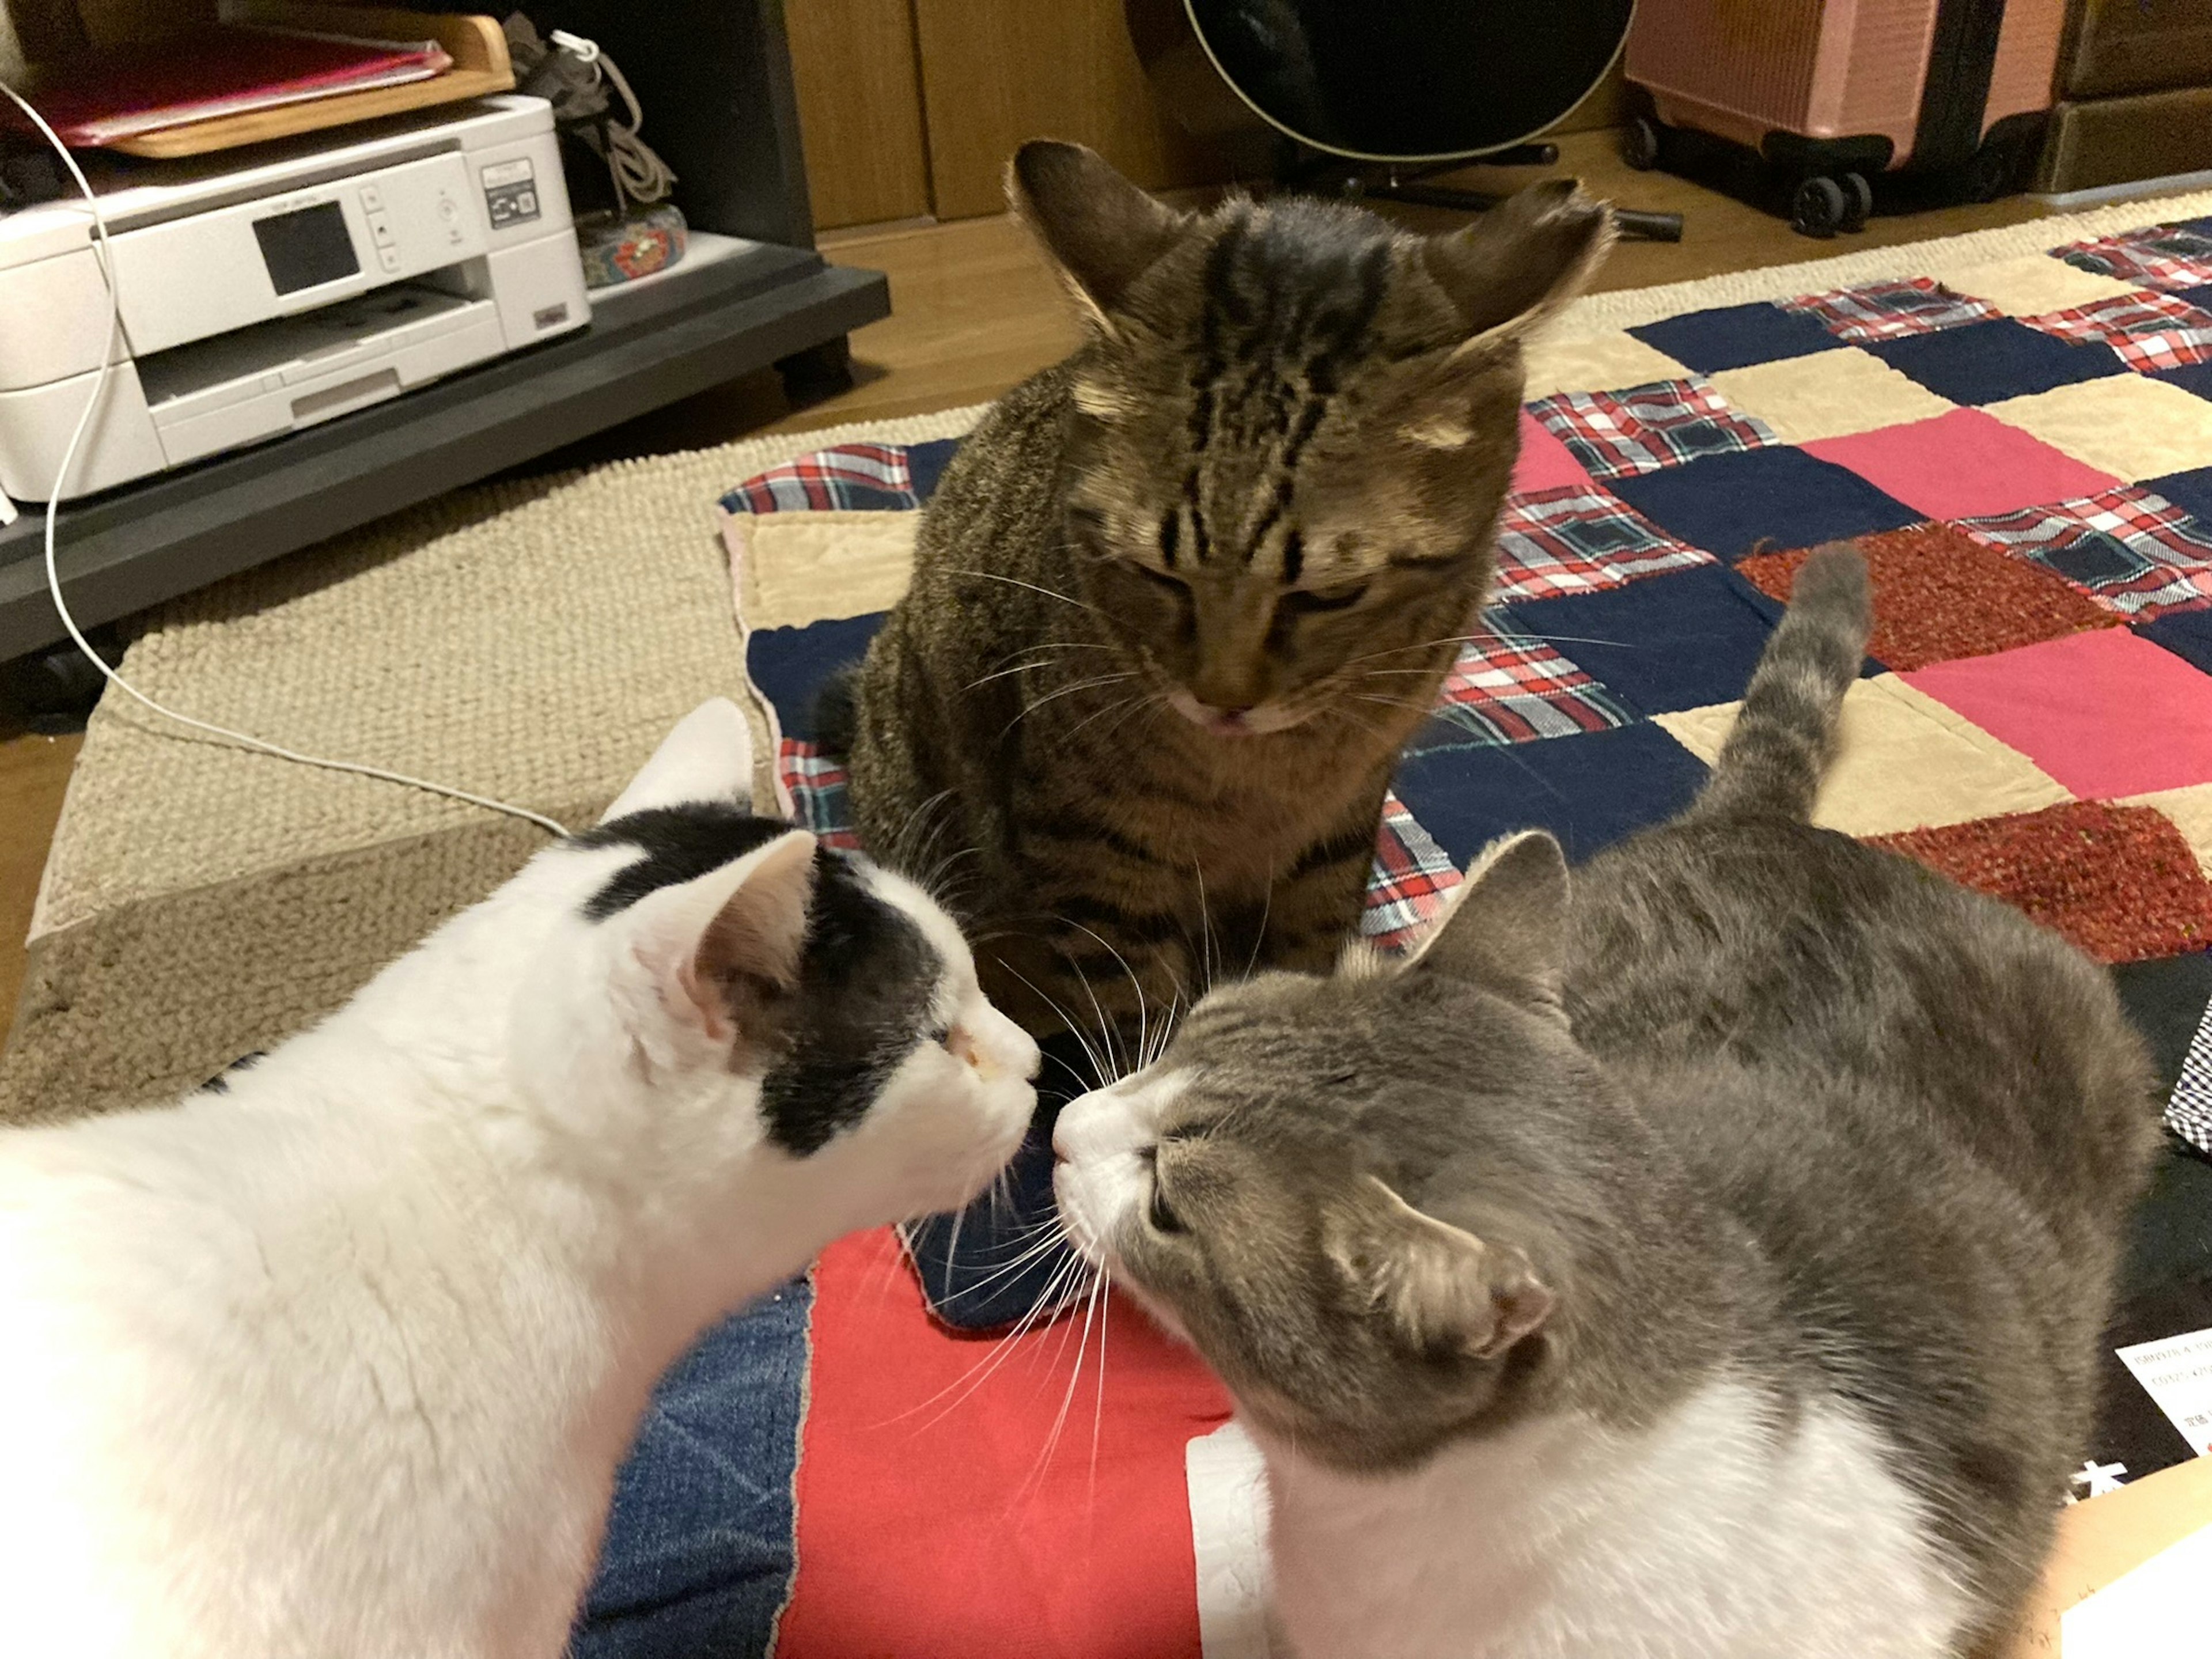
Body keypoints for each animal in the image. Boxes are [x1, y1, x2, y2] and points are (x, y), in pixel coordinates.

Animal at [840, 142, 1610, 1039]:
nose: (1224, 700)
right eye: (1155, 574)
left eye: (1332, 594)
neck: (1263, 782)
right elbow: (1132, 1001)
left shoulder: (1338, 826)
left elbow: (1306, 945)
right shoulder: (1096, 847)